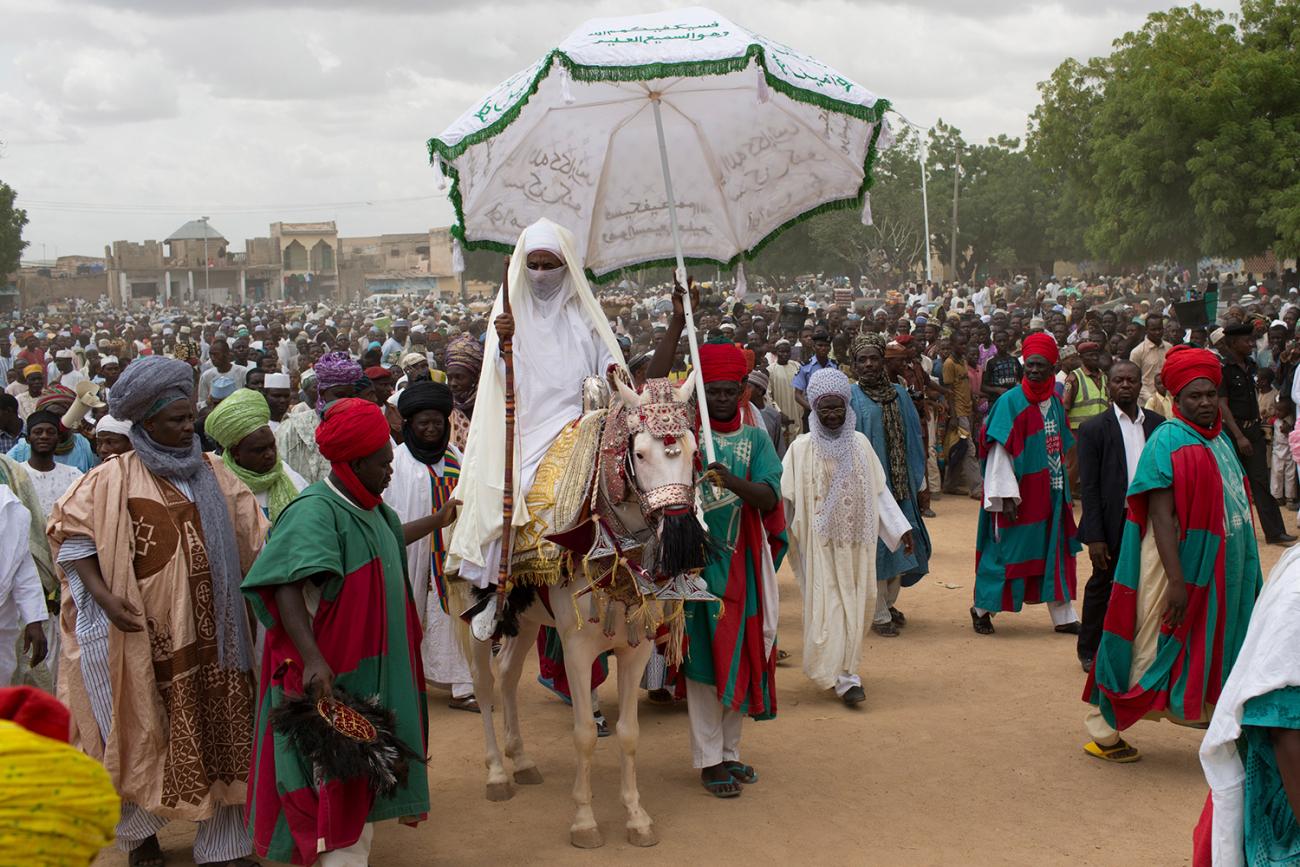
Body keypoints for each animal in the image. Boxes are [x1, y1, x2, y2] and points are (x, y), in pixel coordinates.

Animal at [452, 374, 707, 847]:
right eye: (639, 454)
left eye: (693, 450)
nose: (680, 533)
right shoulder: (576, 649)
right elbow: (585, 734)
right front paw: (585, 821)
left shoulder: (636, 648)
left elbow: (629, 734)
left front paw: (637, 817)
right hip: (472, 608)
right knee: (484, 683)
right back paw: (497, 772)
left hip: (527, 618)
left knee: (508, 674)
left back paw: (522, 759)